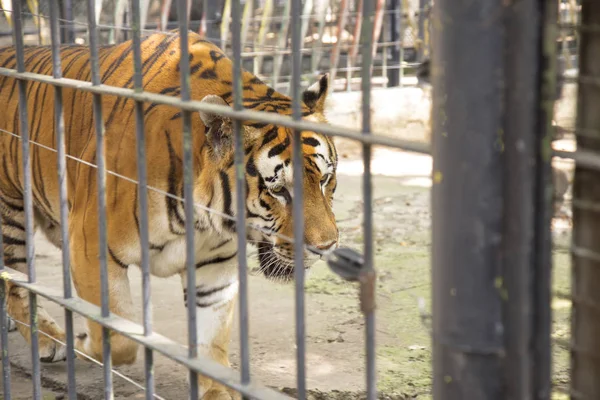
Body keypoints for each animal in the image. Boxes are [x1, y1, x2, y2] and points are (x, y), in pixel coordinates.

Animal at [0, 29, 340, 398]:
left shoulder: (215, 268)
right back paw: (52, 340)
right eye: (278, 190)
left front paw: (217, 391)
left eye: (325, 179)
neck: (203, 219)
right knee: (17, 284)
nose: (327, 246)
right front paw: (85, 342)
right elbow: (119, 337)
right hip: (11, 211)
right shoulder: (91, 248)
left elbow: (210, 343)